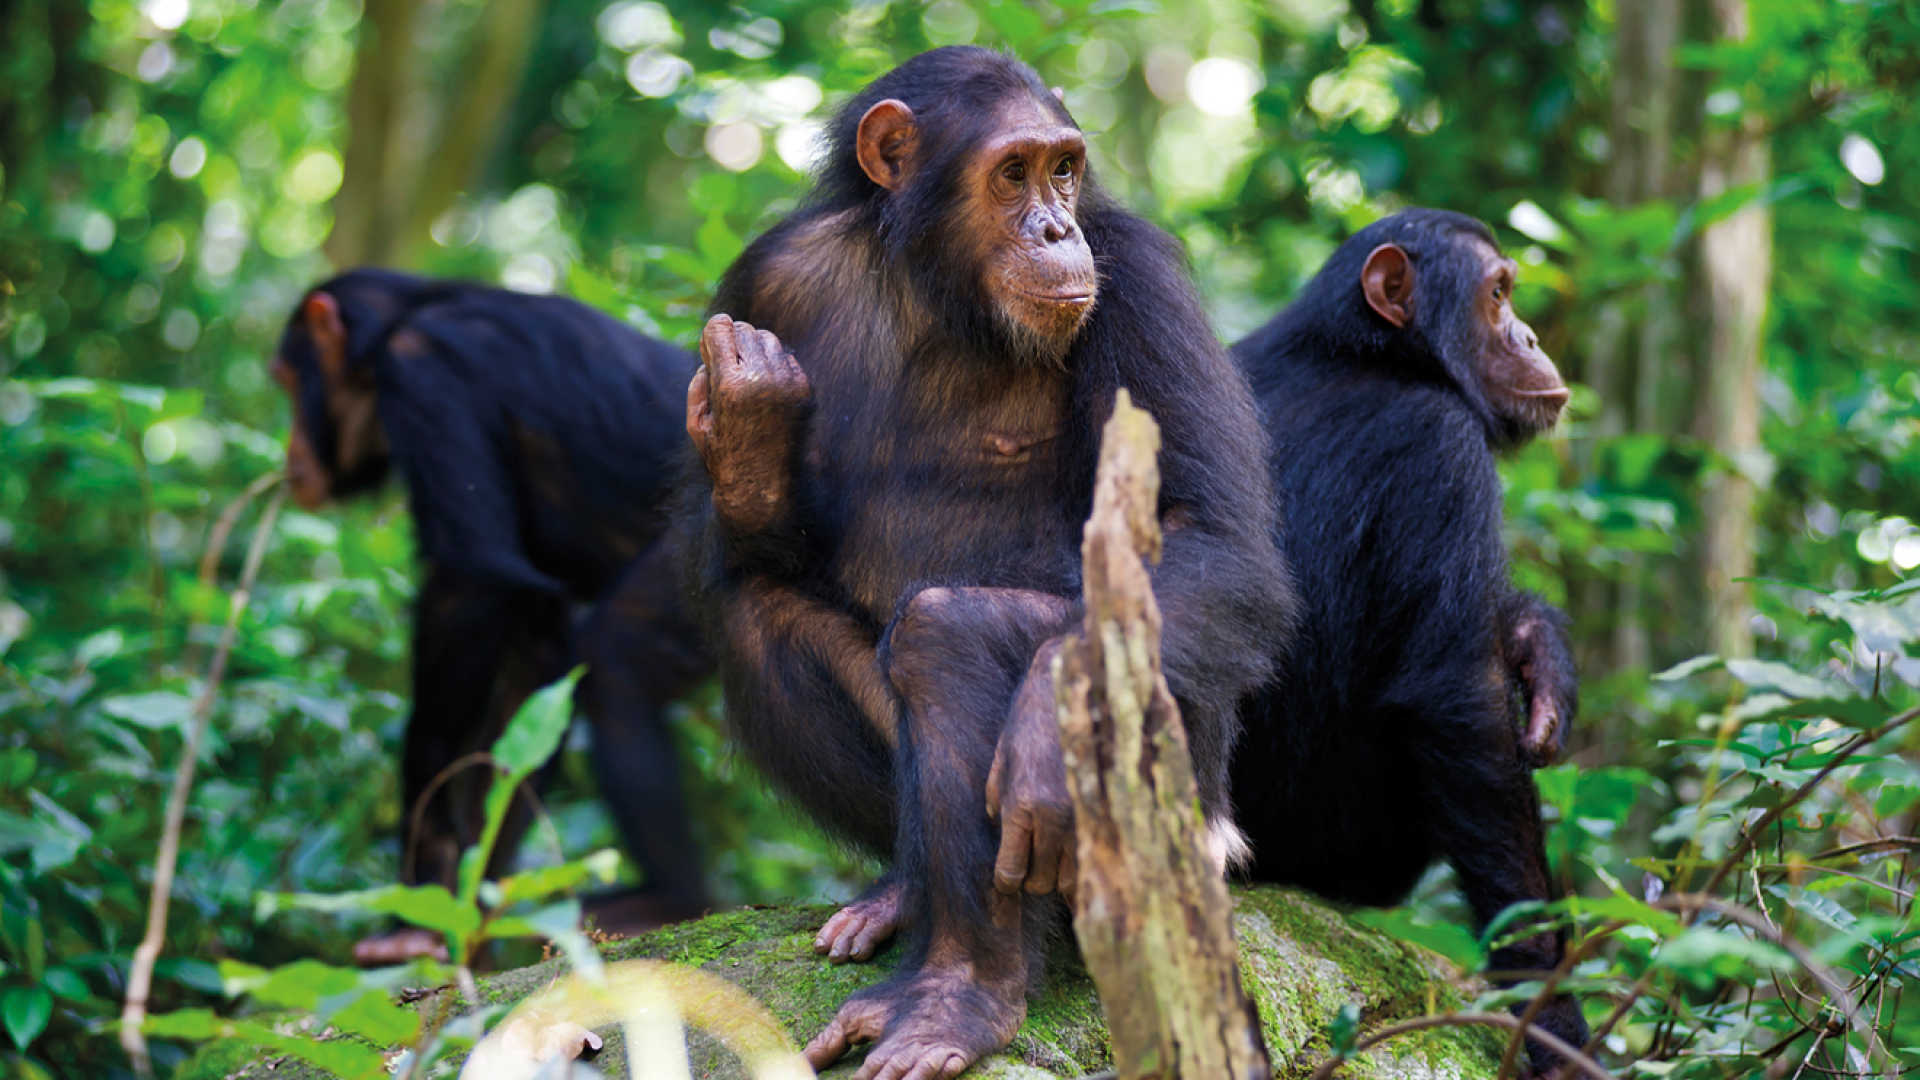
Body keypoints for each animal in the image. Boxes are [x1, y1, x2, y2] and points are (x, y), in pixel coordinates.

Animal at [270, 269, 714, 957]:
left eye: (289, 381)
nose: (290, 451)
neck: (395, 326)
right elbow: (533, 666)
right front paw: (464, 909)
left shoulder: (424, 375)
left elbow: (472, 583)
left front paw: (422, 876)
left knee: (617, 660)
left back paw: (670, 900)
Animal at [679, 44, 1290, 1076]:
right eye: (1013, 174)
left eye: (1066, 170)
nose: (1054, 226)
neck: (937, 286)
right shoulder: (764, 282)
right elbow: (748, 551)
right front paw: (751, 427)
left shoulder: (1138, 278)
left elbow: (1212, 533)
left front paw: (1043, 732)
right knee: (760, 613)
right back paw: (905, 907)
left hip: (1188, 819)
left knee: (949, 633)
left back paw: (960, 999)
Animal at [1228, 208, 1589, 1068]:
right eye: (1498, 295)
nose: (1529, 334)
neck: (1367, 352)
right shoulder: (1442, 450)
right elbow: (1460, 705)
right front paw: (1554, 1020)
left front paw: (1539, 647)